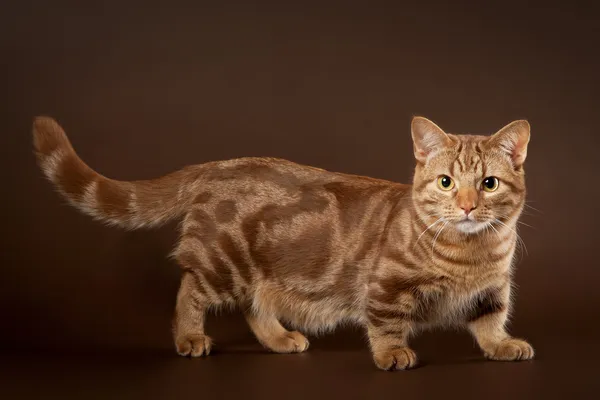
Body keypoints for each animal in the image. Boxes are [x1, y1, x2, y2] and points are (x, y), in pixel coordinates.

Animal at [31, 115, 536, 368]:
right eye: (447, 182)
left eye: (489, 184)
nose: (468, 206)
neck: (471, 254)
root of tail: (217, 166)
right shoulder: (385, 287)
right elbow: (386, 324)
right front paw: (392, 353)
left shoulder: (494, 290)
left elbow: (490, 322)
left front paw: (502, 346)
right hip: (224, 263)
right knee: (189, 290)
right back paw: (190, 336)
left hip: (263, 272)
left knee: (255, 307)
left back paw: (278, 339)